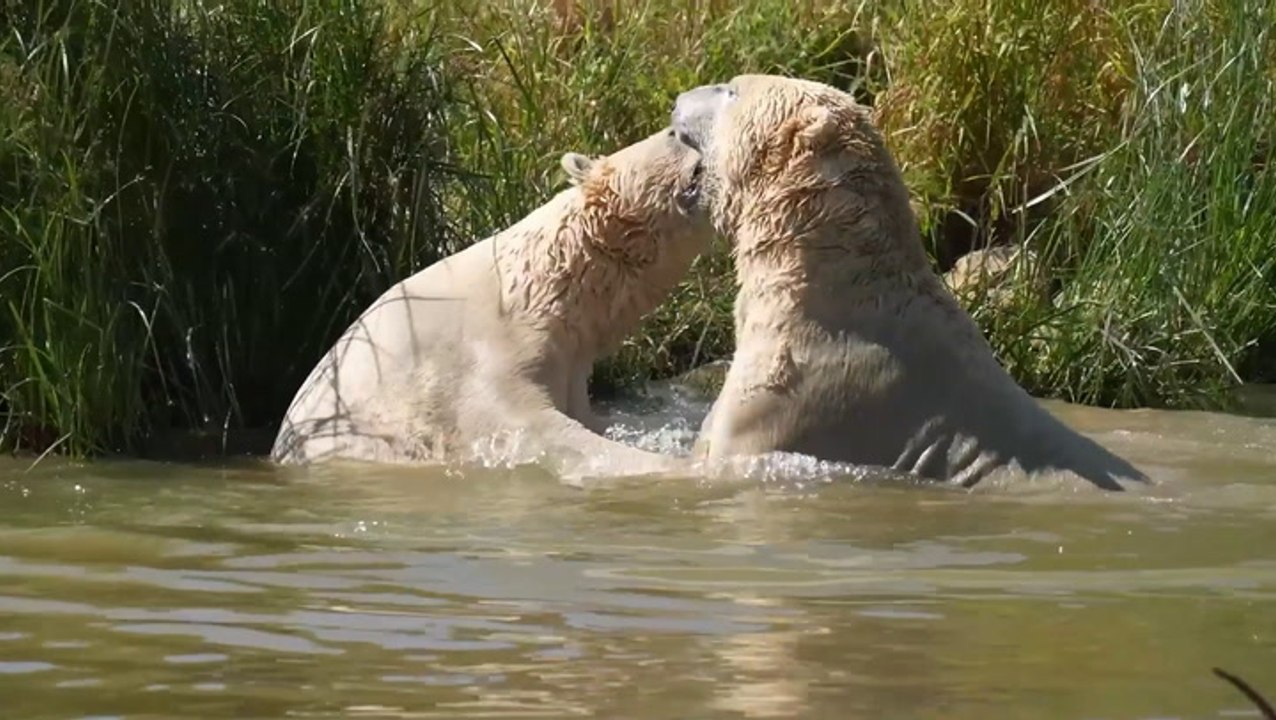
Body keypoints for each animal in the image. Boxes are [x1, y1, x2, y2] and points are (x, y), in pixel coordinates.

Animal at [270, 127, 712, 479]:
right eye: (670, 134)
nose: (683, 130)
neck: (536, 289)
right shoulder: (480, 358)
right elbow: (531, 429)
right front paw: (680, 466)